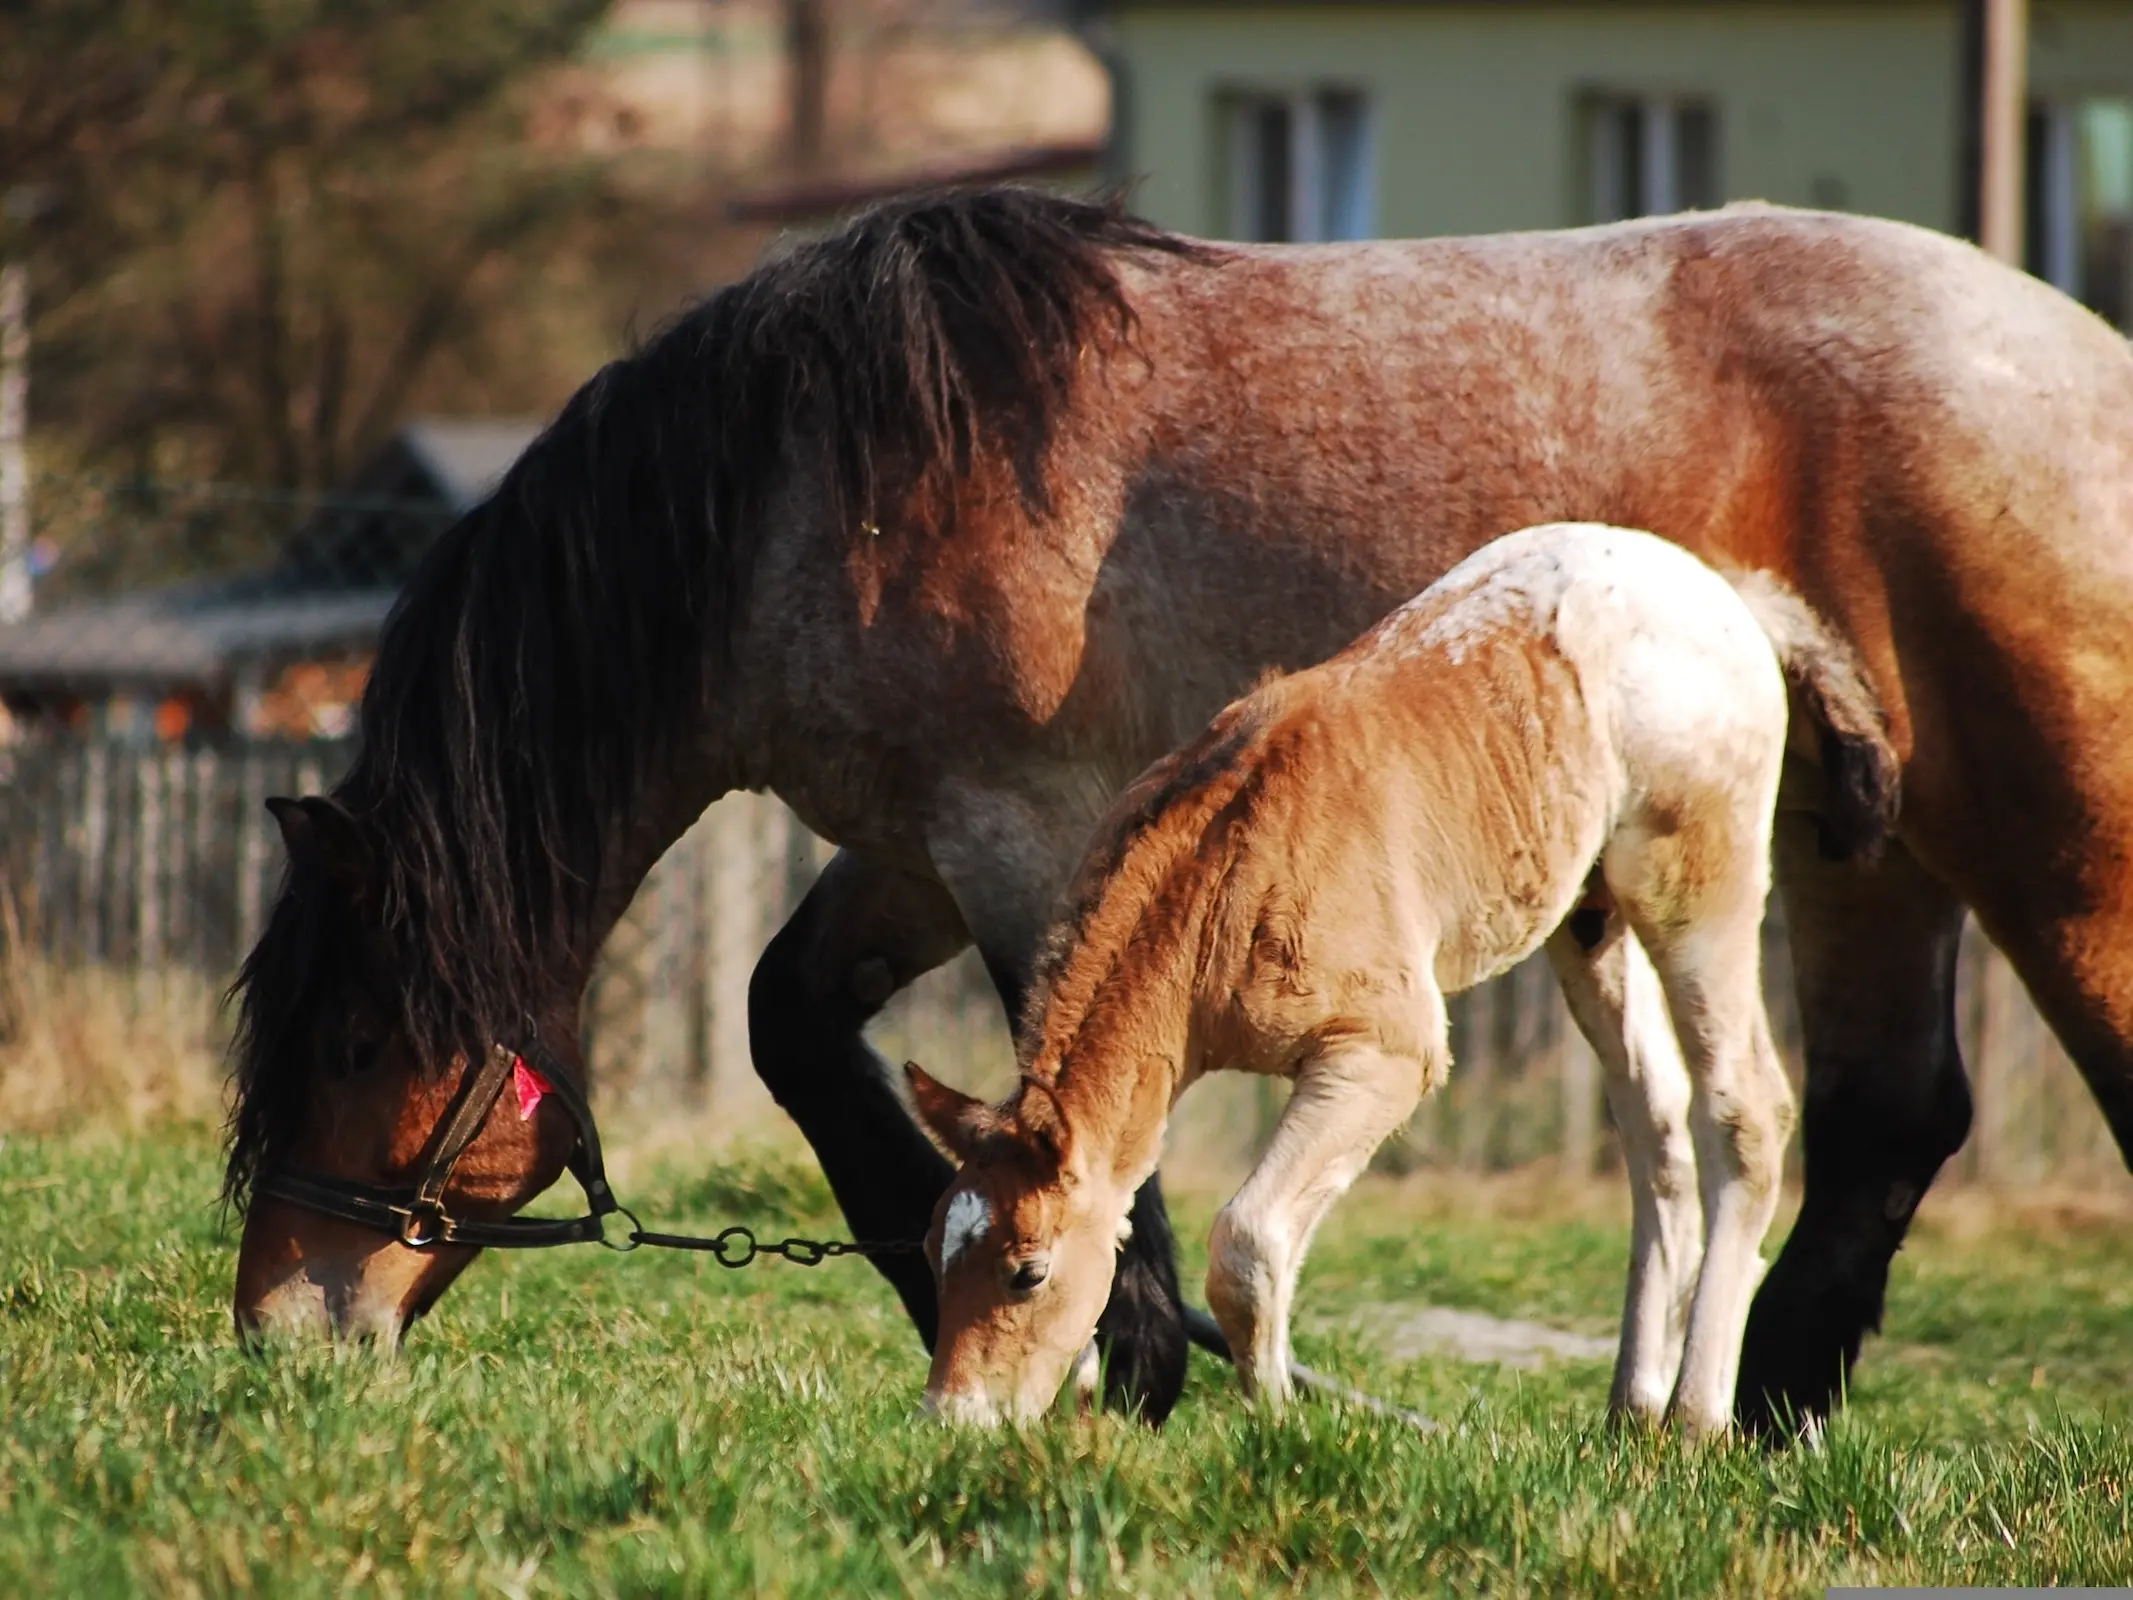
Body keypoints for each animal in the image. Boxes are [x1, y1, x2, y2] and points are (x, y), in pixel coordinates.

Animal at [900, 526, 1902, 1442]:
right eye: (931, 1245)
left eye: (1027, 1270)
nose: (950, 1421)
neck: (1228, 868)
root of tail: (1724, 598)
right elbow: (1260, 1236)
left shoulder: (1387, 1053)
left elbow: (1248, 1242)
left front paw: (1278, 1424)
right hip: (1590, 922)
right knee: (1653, 1129)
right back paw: (1630, 1407)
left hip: (1697, 883)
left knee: (1746, 1111)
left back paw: (1695, 1417)